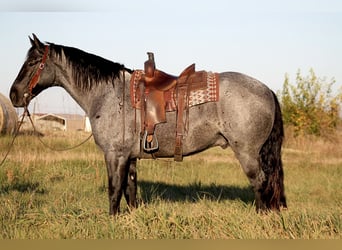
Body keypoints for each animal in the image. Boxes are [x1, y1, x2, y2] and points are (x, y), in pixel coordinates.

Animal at [9, 34, 288, 215]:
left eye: (32, 62)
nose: (14, 95)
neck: (109, 94)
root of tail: (267, 89)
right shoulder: (130, 157)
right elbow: (130, 189)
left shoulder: (115, 155)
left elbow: (114, 189)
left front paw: (112, 219)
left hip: (247, 152)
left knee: (260, 182)